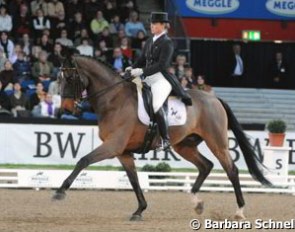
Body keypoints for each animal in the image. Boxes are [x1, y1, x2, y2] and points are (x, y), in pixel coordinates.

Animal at [53, 55, 270, 220]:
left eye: (70, 78)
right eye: (58, 79)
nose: (66, 110)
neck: (114, 100)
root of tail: (214, 98)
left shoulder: (113, 145)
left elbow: (83, 160)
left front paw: (60, 191)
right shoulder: (123, 152)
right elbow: (133, 180)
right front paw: (139, 210)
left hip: (217, 142)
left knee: (231, 170)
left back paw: (239, 211)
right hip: (185, 145)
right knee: (205, 165)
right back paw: (197, 203)